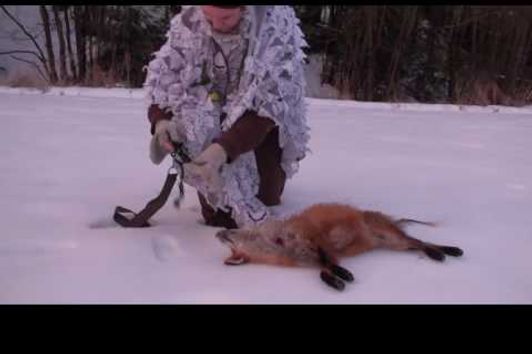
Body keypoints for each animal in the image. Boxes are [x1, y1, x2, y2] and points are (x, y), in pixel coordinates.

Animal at [214, 202, 464, 290]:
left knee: (420, 241)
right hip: (394, 245)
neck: (282, 243)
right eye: (232, 251)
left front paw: (343, 274)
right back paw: (440, 253)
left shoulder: (317, 239)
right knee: (418, 245)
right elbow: (323, 272)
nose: (218, 233)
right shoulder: (313, 260)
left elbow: (326, 259)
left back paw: (449, 251)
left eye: (231, 238)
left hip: (392, 238)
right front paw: (338, 280)